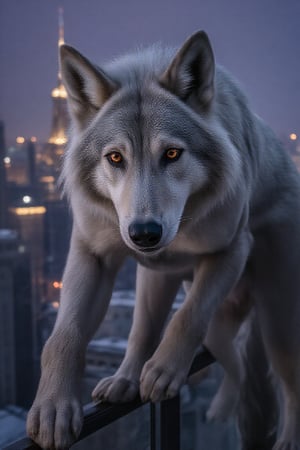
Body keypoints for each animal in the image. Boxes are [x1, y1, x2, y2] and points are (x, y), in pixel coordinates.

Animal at [26, 30, 300, 446]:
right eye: (115, 158)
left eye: (172, 154)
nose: (144, 234)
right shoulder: (93, 255)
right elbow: (62, 337)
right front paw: (53, 407)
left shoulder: (231, 250)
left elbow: (187, 317)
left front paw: (164, 371)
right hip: (175, 294)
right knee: (202, 353)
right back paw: (140, 385)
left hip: (276, 324)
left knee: (287, 381)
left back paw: (286, 438)